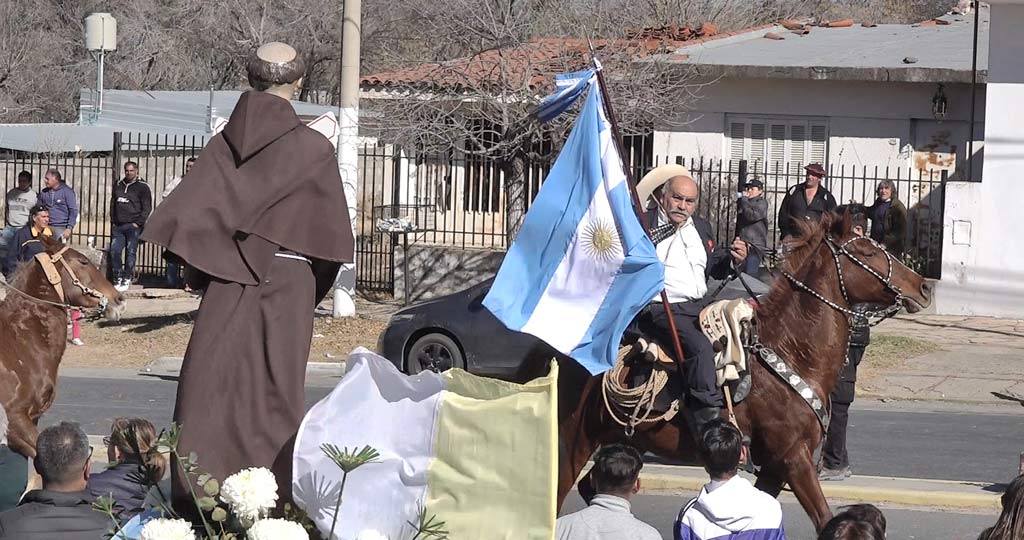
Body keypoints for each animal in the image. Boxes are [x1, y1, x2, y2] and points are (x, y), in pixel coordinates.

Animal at [552, 208, 937, 532]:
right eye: (868, 253)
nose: (924, 287)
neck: (791, 351)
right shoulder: (794, 459)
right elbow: (824, 518)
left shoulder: (775, 468)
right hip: (571, 442)